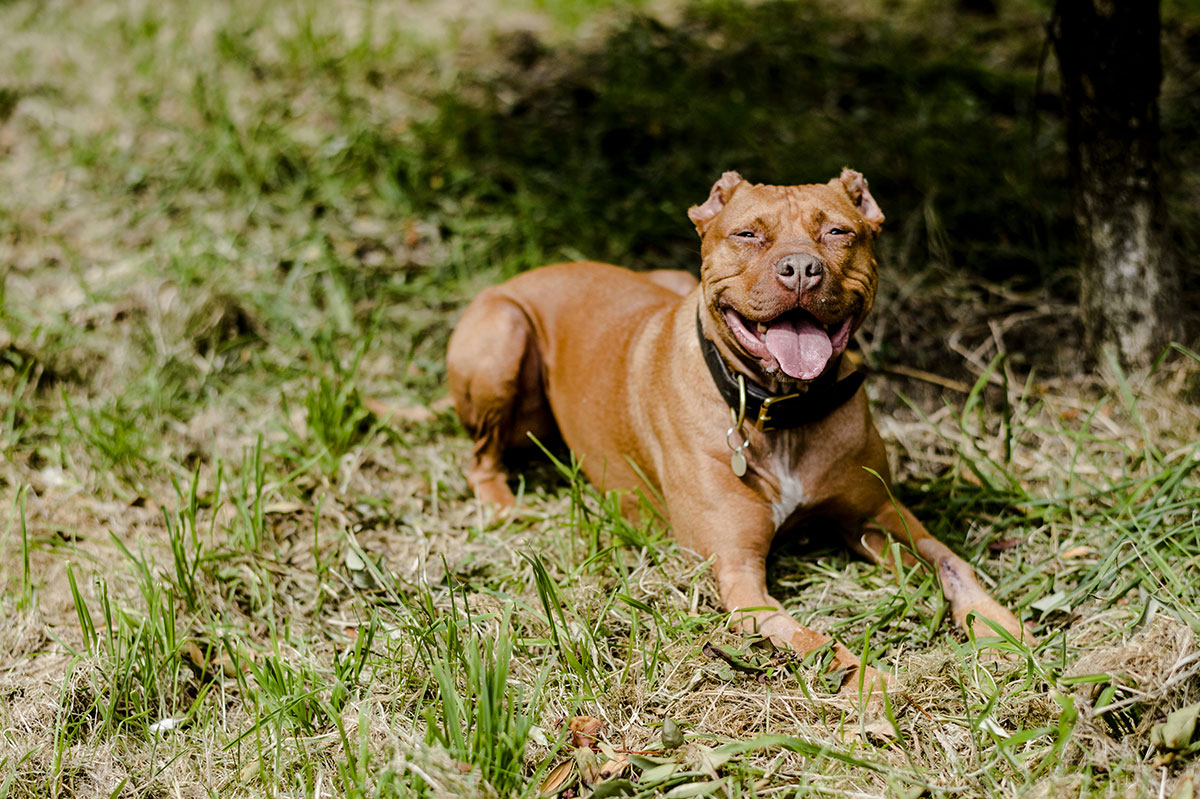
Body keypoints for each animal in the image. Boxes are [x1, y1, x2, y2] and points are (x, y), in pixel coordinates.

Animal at [446, 171, 1027, 695]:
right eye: (747, 234)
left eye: (838, 231)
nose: (801, 269)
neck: (780, 409)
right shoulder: (739, 575)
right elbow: (815, 642)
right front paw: (867, 684)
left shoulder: (875, 514)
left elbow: (951, 561)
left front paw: (1000, 628)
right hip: (502, 336)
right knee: (479, 459)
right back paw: (504, 507)